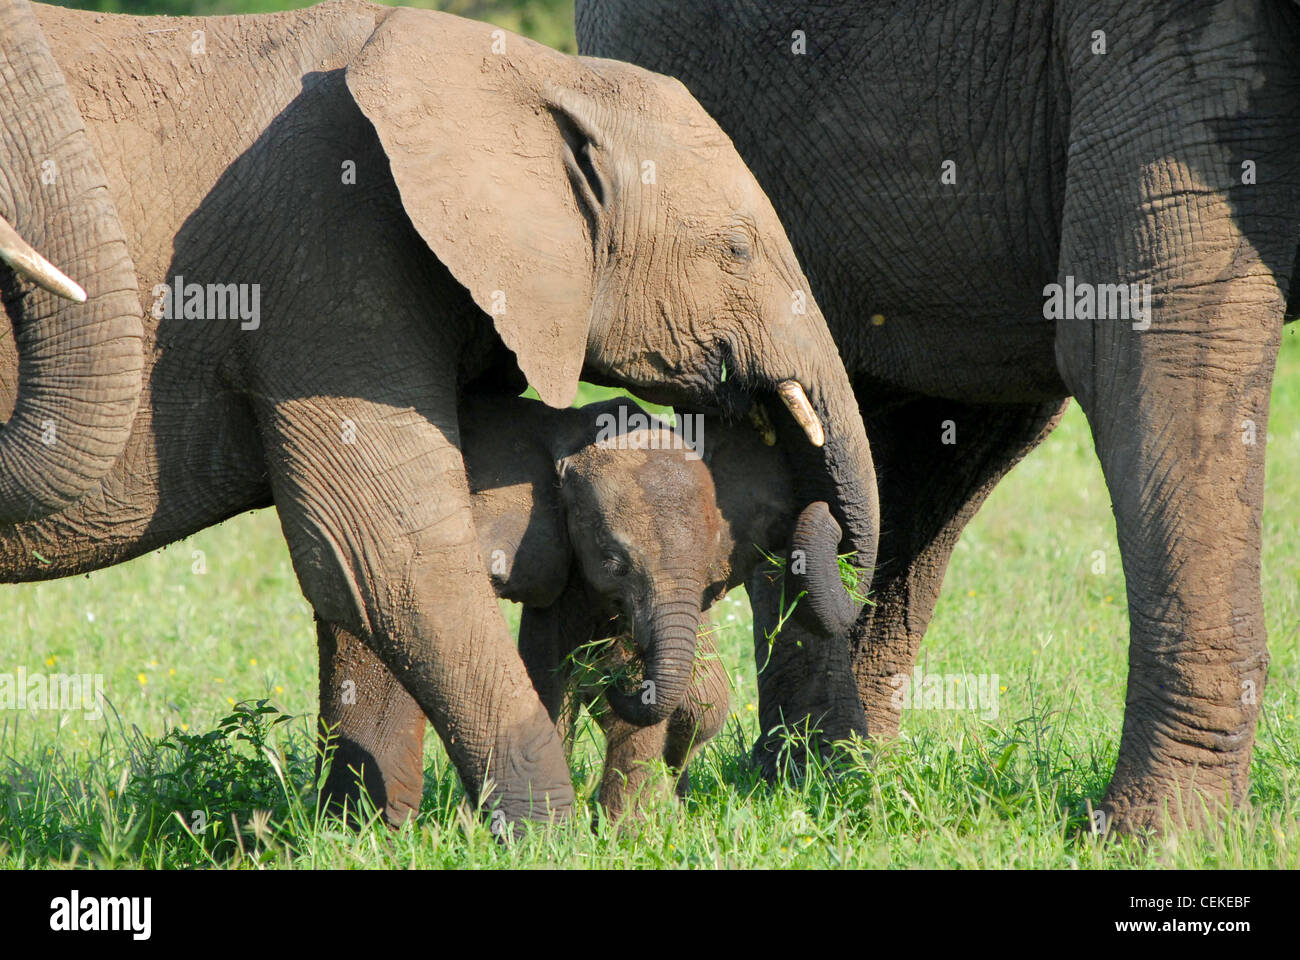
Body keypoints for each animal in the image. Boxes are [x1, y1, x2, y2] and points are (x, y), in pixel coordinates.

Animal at [320, 393, 845, 825]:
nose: (829, 514)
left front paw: (625, 833)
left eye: (709, 572)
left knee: (703, 708)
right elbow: (548, 669)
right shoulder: (556, 553)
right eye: (613, 563)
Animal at [577, 0, 1300, 832]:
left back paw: (841, 786)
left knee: (941, 436)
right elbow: (1164, 326)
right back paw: (814, 786)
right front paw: (1165, 837)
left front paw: (1163, 831)